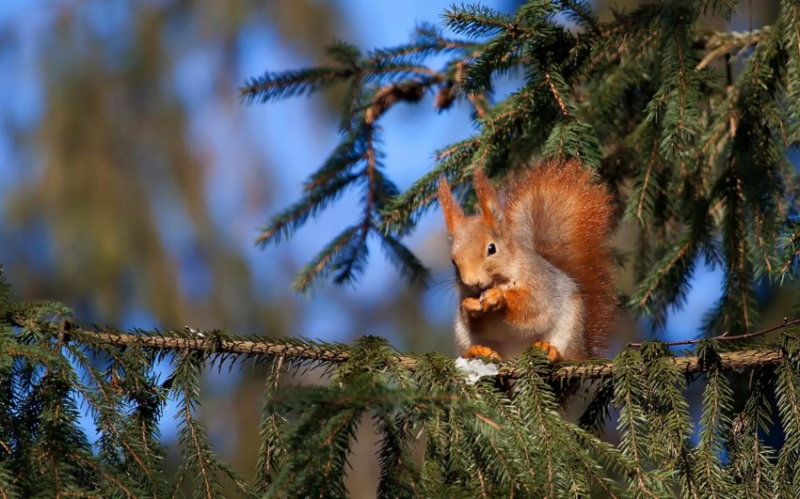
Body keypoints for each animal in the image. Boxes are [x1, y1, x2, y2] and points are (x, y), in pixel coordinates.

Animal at [438, 159, 620, 364]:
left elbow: (530, 308)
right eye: (453, 261)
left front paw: (498, 298)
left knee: (564, 353)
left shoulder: (539, 285)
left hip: (569, 328)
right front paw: (469, 306)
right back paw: (477, 351)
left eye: (492, 249)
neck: (500, 280)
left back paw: (550, 349)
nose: (472, 282)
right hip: (464, 338)